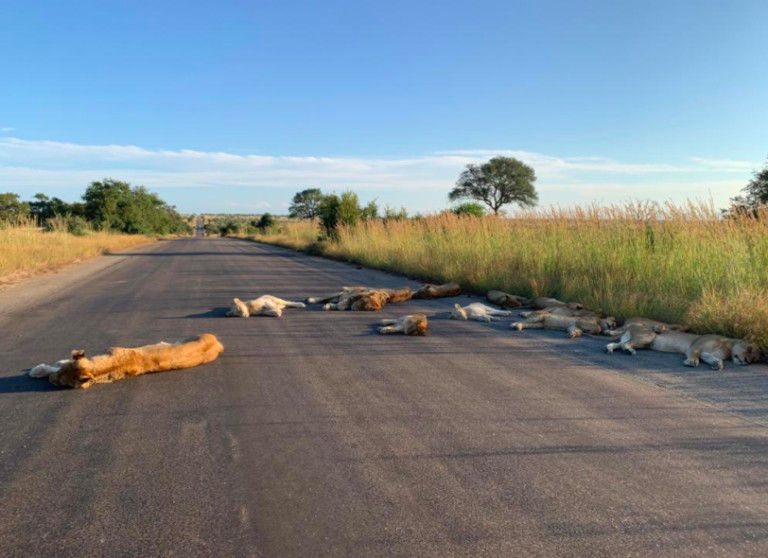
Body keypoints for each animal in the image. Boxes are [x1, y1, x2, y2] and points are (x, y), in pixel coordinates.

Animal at [608, 328, 760, 372]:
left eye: (754, 359)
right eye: (749, 348)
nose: (747, 361)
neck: (728, 346)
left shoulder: (706, 353)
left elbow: (712, 358)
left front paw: (717, 365)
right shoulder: (696, 345)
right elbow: (694, 354)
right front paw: (691, 362)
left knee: (618, 344)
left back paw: (610, 349)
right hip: (649, 336)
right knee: (624, 344)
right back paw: (629, 351)